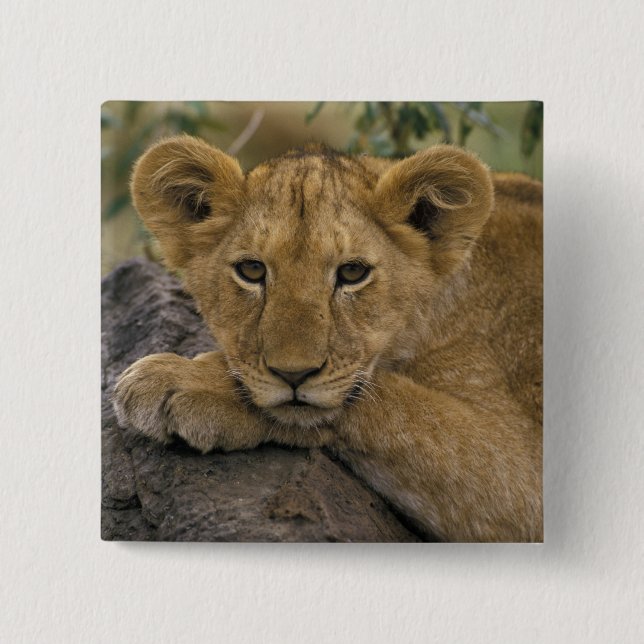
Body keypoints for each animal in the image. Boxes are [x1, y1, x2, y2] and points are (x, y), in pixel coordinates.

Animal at [113, 135, 543, 542]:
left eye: (353, 272)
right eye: (251, 270)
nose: (294, 375)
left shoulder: (524, 479)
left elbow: (398, 405)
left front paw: (185, 382)